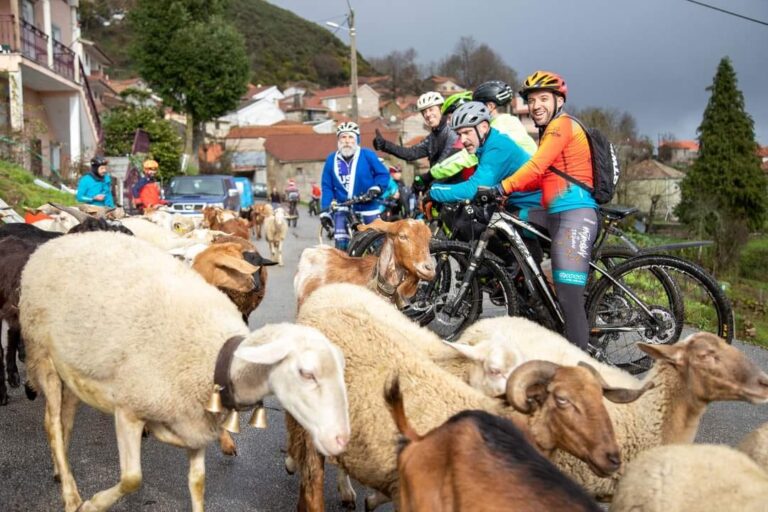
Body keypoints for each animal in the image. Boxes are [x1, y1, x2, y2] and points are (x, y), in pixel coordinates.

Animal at [19, 233, 352, 512]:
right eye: (306, 373)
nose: (341, 439)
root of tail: (54, 242)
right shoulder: (128, 410)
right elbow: (132, 478)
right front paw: (93, 504)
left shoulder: (195, 429)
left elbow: (197, 484)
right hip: (43, 355)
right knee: (52, 423)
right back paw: (72, 496)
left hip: (73, 369)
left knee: (65, 422)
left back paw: (61, 472)